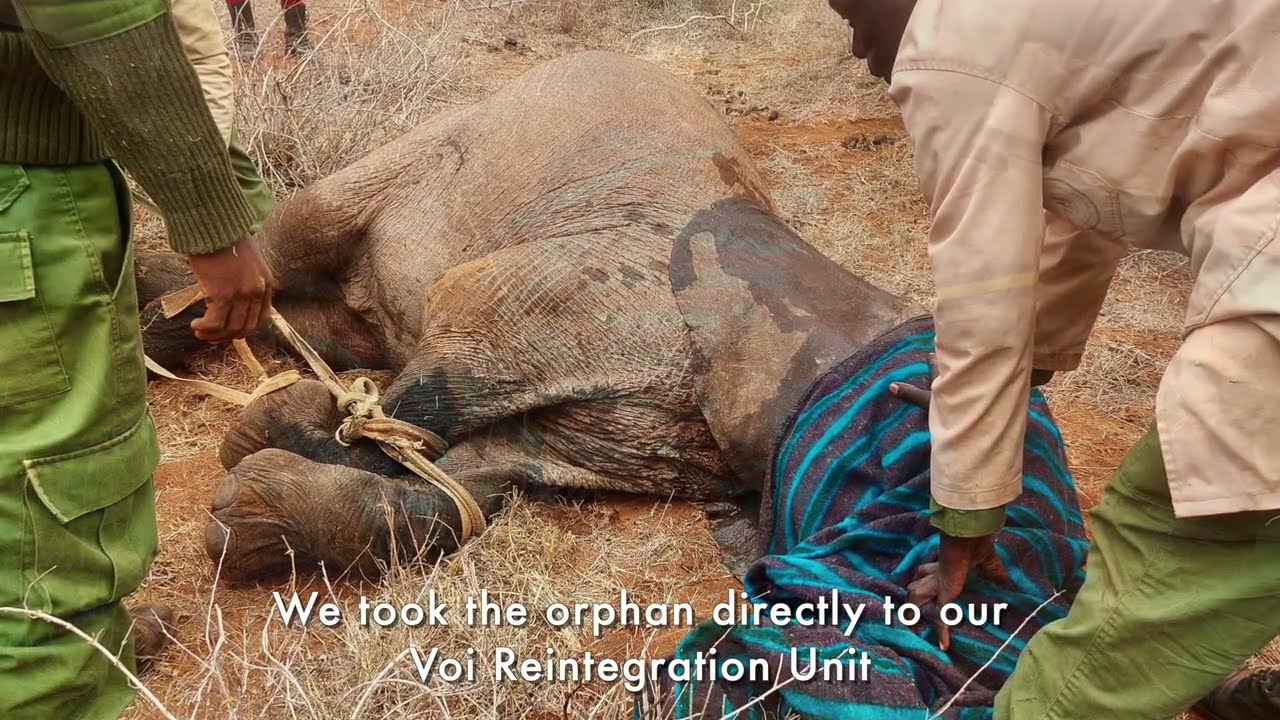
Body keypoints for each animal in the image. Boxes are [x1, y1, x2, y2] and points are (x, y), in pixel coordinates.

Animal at [137, 50, 925, 583]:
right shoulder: (585, 283)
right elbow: (441, 380)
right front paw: (262, 444)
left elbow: (482, 479)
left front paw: (249, 515)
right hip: (413, 151)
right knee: (294, 237)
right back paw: (160, 320)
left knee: (311, 321)